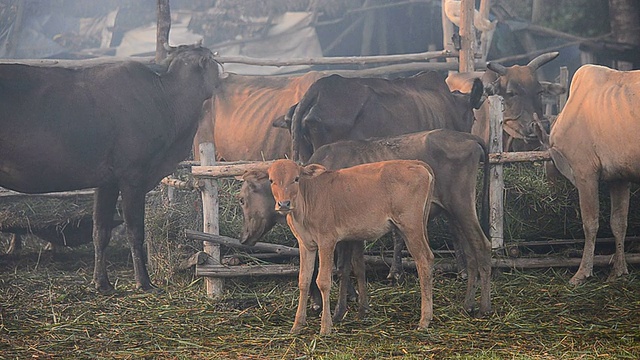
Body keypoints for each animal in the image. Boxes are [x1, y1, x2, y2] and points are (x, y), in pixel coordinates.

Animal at [0, 43, 221, 294]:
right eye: (214, 60)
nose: (224, 80)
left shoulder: (107, 180)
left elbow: (100, 231)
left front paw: (101, 282)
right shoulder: (132, 176)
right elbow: (135, 232)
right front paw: (144, 282)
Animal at [238, 129, 492, 318]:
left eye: (241, 199)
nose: (242, 238)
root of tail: (468, 137)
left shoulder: (339, 236)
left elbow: (341, 266)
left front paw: (338, 309)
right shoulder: (354, 234)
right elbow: (357, 265)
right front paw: (360, 305)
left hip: (461, 206)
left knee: (482, 245)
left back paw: (483, 306)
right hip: (454, 214)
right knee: (471, 252)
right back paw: (468, 304)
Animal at [544, 64, 640, 284]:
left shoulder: (585, 172)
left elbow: (590, 223)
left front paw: (582, 272)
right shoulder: (619, 177)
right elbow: (619, 222)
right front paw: (619, 270)